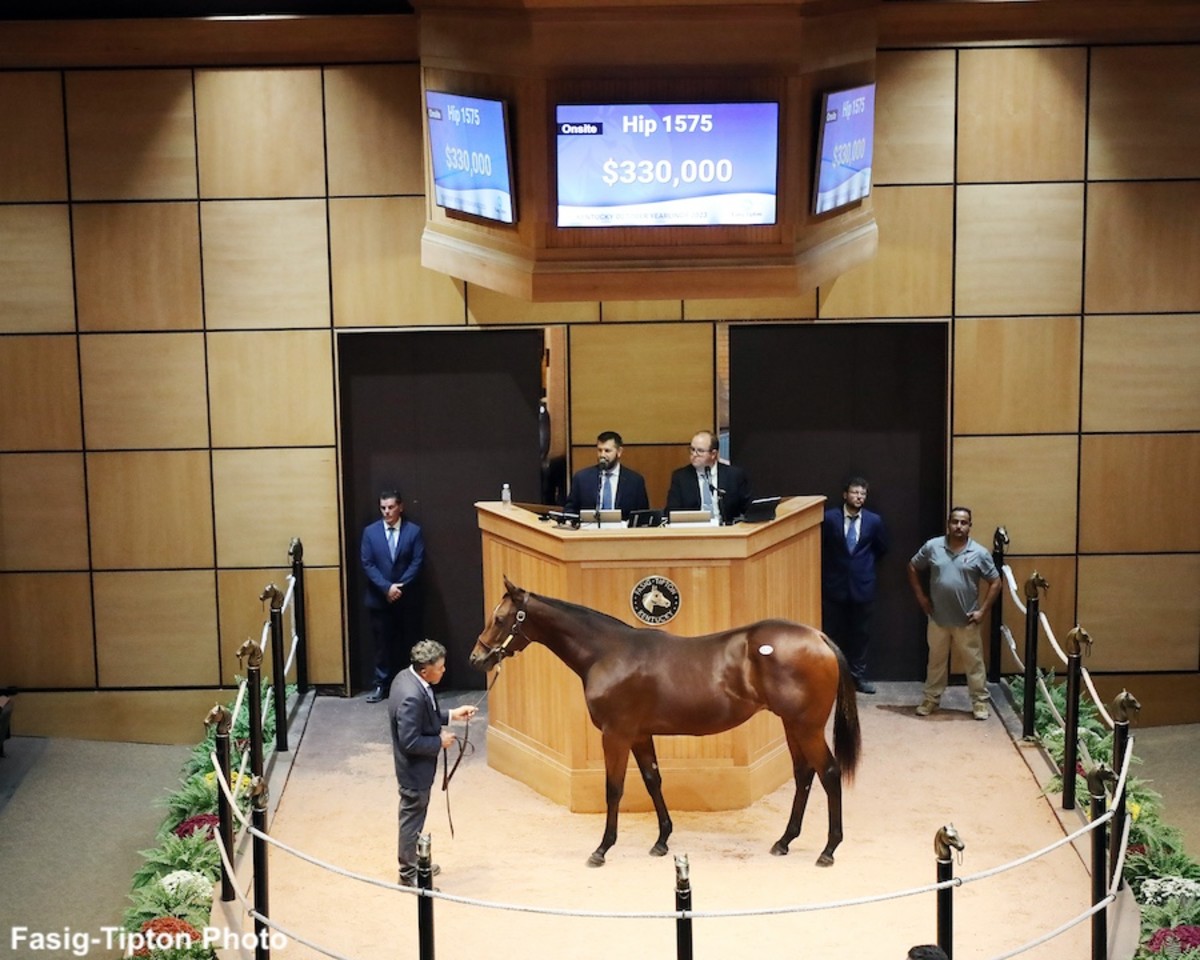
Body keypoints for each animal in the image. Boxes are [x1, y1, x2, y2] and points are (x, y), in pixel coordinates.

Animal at [470, 578, 864, 868]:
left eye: (501, 619)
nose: (477, 659)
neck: (607, 653)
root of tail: (818, 637)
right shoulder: (640, 734)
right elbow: (652, 780)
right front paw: (661, 840)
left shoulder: (616, 734)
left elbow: (614, 789)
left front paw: (602, 849)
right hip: (792, 725)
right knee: (804, 774)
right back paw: (784, 841)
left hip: (807, 727)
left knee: (829, 774)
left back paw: (828, 850)